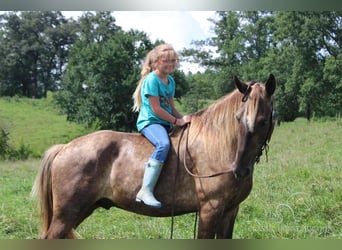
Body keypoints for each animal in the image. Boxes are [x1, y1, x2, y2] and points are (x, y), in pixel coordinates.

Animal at [31, 73, 276, 238]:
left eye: (264, 121)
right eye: (238, 118)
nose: (240, 170)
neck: (219, 146)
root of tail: (64, 148)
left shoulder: (230, 211)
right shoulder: (210, 210)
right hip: (66, 215)